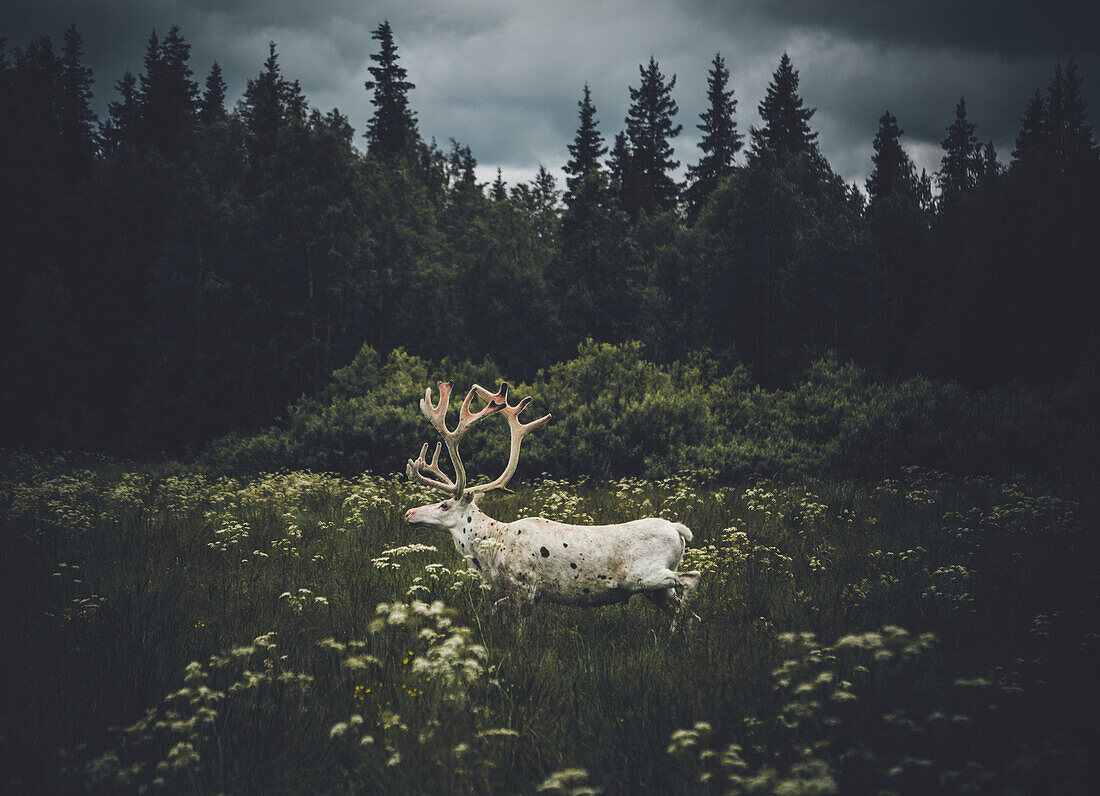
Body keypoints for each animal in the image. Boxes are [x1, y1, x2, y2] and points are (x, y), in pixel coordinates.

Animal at [400, 382, 699, 633]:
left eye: (444, 504)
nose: (409, 513)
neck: (490, 550)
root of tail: (679, 530)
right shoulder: (529, 595)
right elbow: (501, 611)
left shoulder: (525, 586)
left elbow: (513, 623)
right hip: (656, 590)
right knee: (688, 613)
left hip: (645, 575)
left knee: (691, 578)